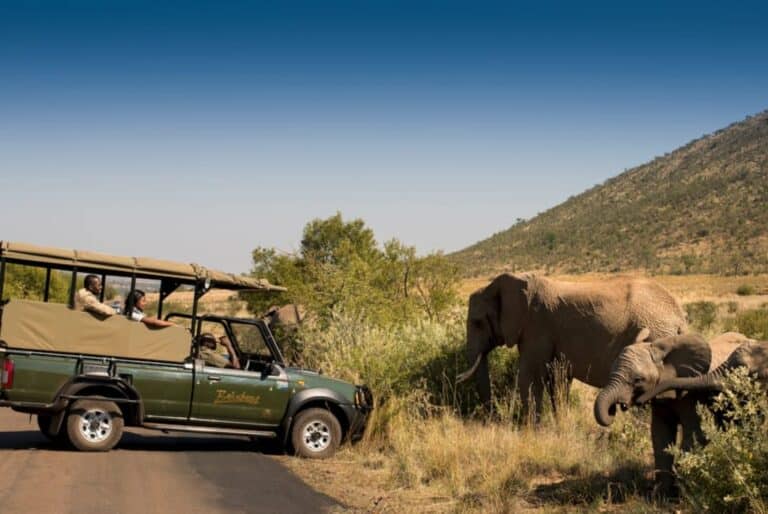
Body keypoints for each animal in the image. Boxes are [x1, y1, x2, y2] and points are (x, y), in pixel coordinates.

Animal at [452, 272, 688, 416]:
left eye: (478, 323)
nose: (494, 416)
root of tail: (680, 316)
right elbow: (558, 379)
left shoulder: (537, 325)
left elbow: (530, 376)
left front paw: (532, 432)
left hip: (656, 334)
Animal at [592, 330, 752, 490]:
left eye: (638, 380)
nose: (616, 407)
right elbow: (660, 434)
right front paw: (662, 492)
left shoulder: (691, 396)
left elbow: (695, 434)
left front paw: (682, 488)